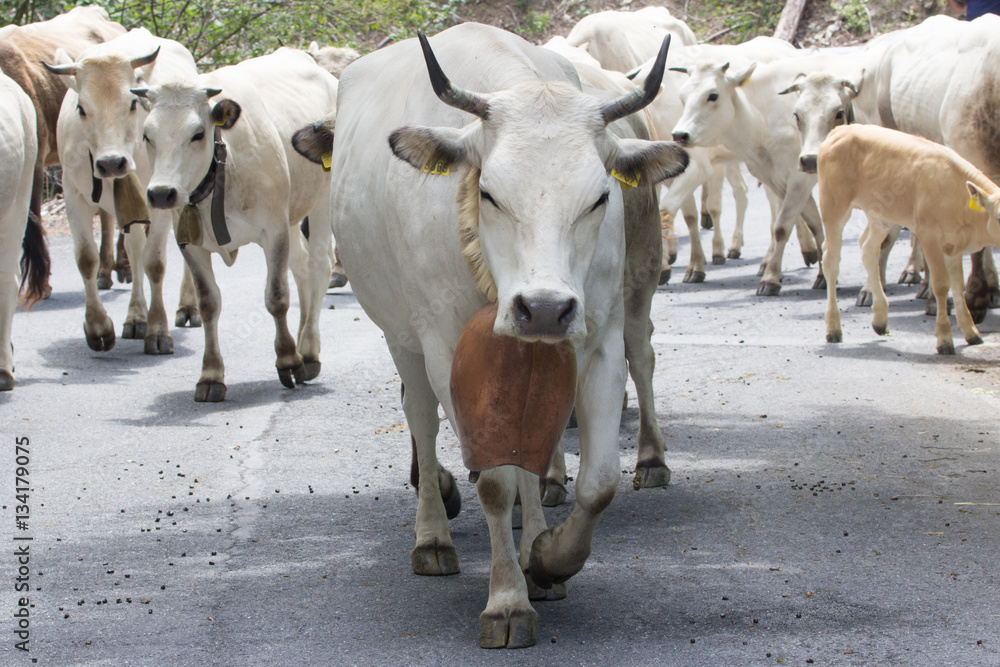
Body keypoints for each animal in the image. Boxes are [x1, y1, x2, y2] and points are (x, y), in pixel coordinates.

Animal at [46, 28, 200, 354]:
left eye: (131, 103)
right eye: (82, 108)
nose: (111, 162)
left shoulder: (159, 197)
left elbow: (155, 262)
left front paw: (158, 331)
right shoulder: (73, 194)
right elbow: (87, 258)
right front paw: (98, 327)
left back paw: (188, 308)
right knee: (133, 248)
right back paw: (136, 317)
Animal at [136, 47, 338, 401]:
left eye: (197, 133)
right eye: (148, 135)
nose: (161, 193)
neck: (222, 168)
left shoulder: (273, 230)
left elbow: (276, 297)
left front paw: (289, 361)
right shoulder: (189, 243)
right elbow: (208, 303)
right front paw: (211, 375)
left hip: (320, 202)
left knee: (318, 265)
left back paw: (308, 351)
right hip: (293, 214)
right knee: (301, 267)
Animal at [320, 23, 687, 647]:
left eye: (600, 197)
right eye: (489, 192)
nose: (543, 309)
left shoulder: (599, 338)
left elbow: (597, 481)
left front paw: (547, 559)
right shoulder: (445, 348)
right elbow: (494, 481)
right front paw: (508, 602)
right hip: (402, 337)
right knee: (421, 417)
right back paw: (433, 539)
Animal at [819, 124, 996, 355]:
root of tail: (841, 130)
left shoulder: (953, 243)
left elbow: (958, 285)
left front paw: (971, 332)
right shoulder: (928, 236)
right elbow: (941, 285)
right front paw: (945, 340)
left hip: (880, 217)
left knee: (868, 249)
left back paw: (880, 319)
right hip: (833, 208)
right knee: (831, 261)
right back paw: (833, 328)